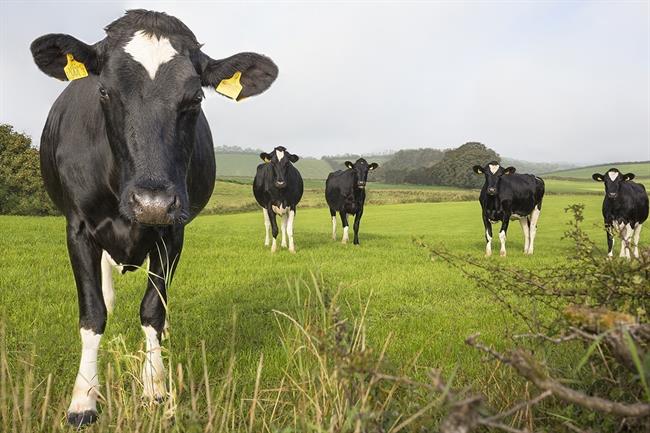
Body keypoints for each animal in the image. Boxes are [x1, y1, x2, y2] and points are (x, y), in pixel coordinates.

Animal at [30, 9, 277, 426]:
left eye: (196, 98)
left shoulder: (172, 232)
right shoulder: (78, 228)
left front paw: (155, 389)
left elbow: (152, 310)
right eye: (104, 91)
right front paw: (83, 399)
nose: (152, 203)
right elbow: (92, 313)